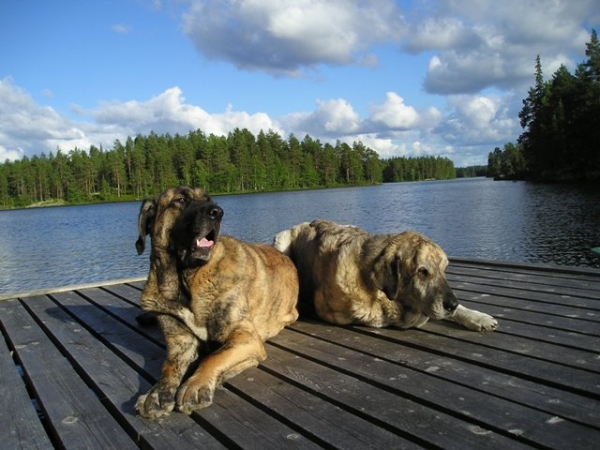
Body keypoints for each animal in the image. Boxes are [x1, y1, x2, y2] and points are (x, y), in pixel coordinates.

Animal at [134, 186, 298, 418]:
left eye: (210, 200)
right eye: (180, 200)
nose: (217, 212)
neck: (185, 279)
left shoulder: (245, 336)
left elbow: (212, 357)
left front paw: (195, 386)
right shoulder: (180, 342)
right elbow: (168, 367)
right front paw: (156, 393)